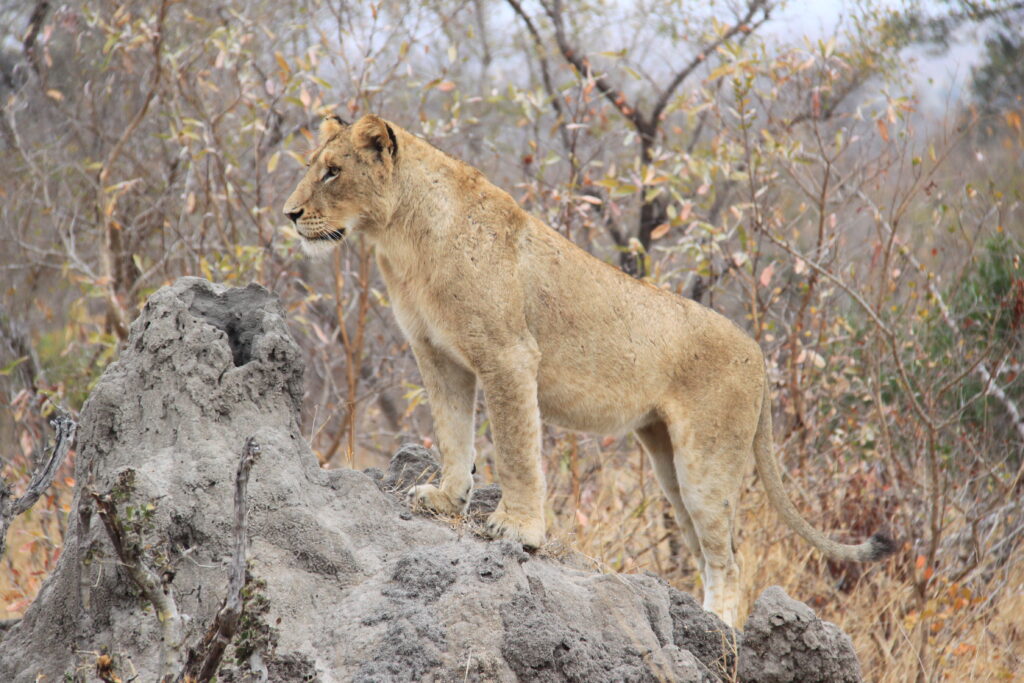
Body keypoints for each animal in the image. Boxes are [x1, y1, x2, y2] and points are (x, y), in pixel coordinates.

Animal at [283, 114, 895, 626]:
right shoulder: (436, 355)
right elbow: (454, 434)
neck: (402, 237)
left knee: (731, 557)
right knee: (704, 547)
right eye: (313, 166)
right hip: (668, 461)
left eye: (332, 171)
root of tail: (760, 353)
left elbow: (515, 447)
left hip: (707, 463)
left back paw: (719, 626)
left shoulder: (509, 355)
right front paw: (446, 498)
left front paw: (518, 529)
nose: (288, 215)